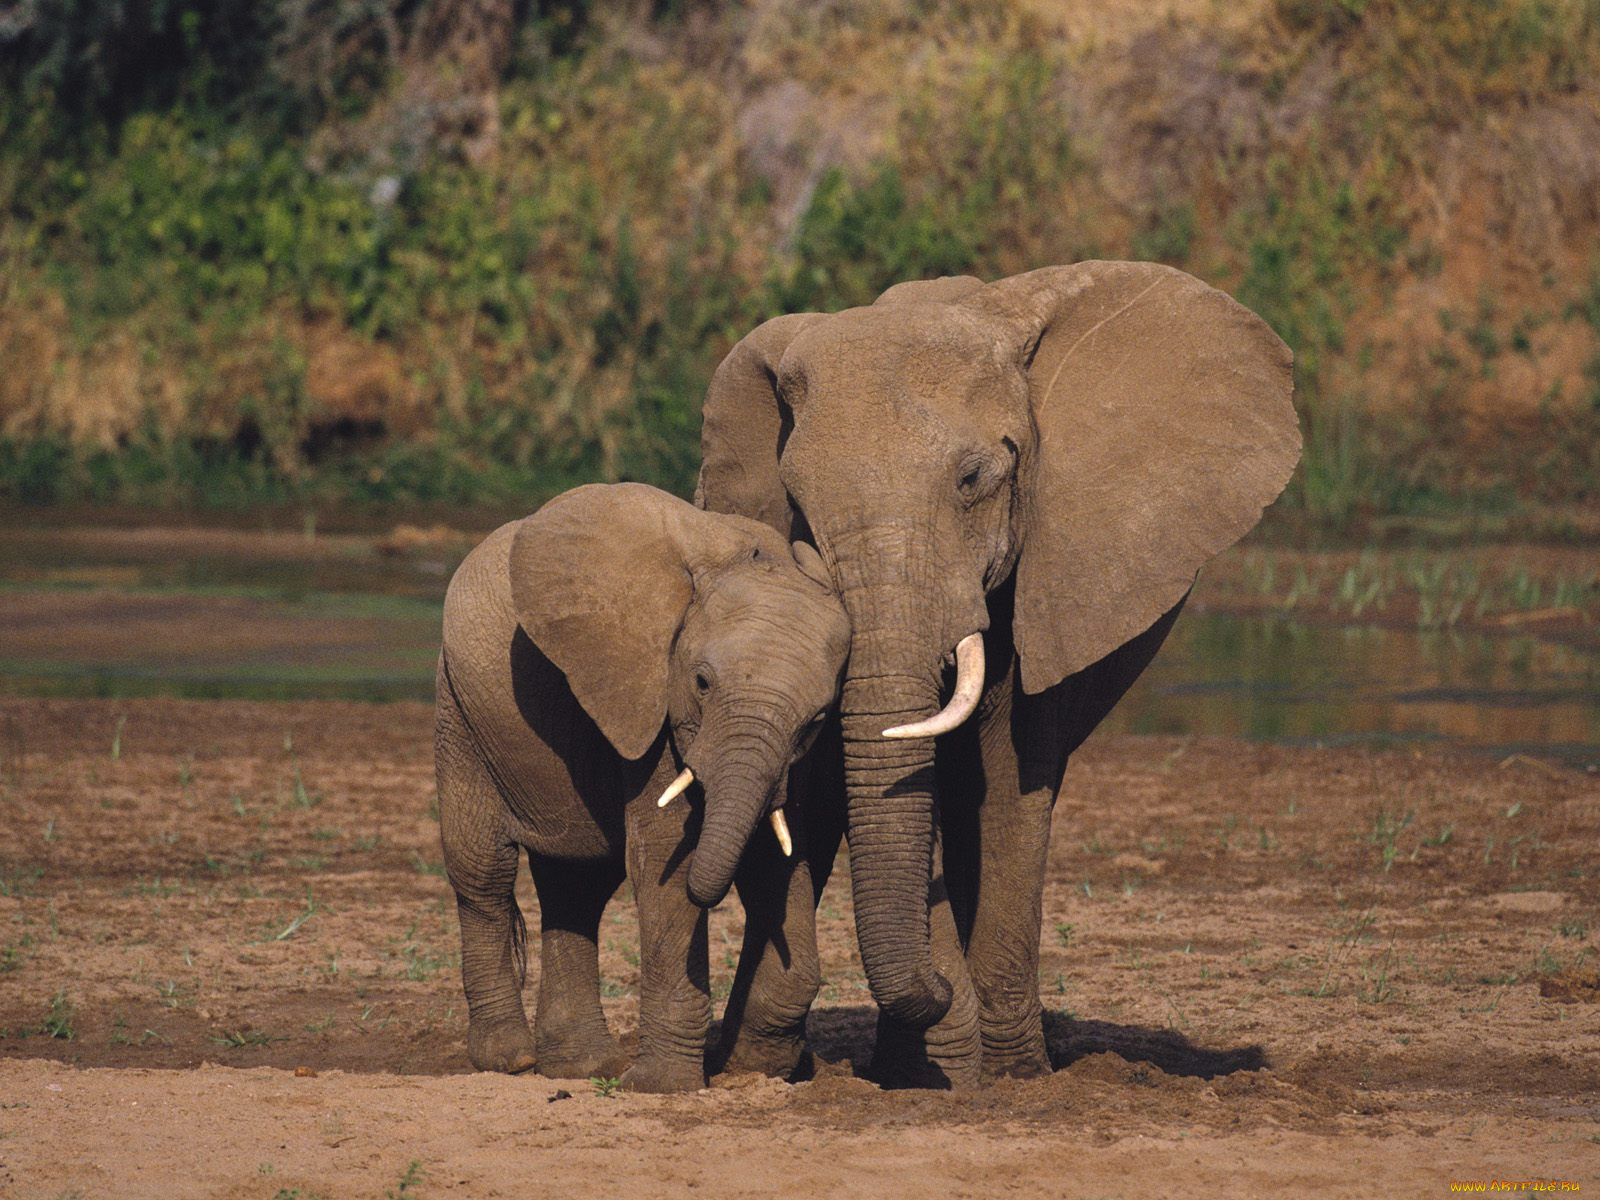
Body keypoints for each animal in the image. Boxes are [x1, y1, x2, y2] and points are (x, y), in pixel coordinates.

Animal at [425, 483, 851, 1094]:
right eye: (701, 682)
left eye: (817, 718)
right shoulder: (651, 698)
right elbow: (665, 860)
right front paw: (662, 1086)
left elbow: (778, 857)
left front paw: (755, 1069)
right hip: (458, 709)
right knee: (483, 873)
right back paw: (512, 1060)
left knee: (576, 886)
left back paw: (581, 1067)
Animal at [697, 262, 1299, 1088]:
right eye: (798, 505)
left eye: (973, 479)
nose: (939, 988)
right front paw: (939, 1060)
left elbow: (1012, 773)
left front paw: (1007, 1075)